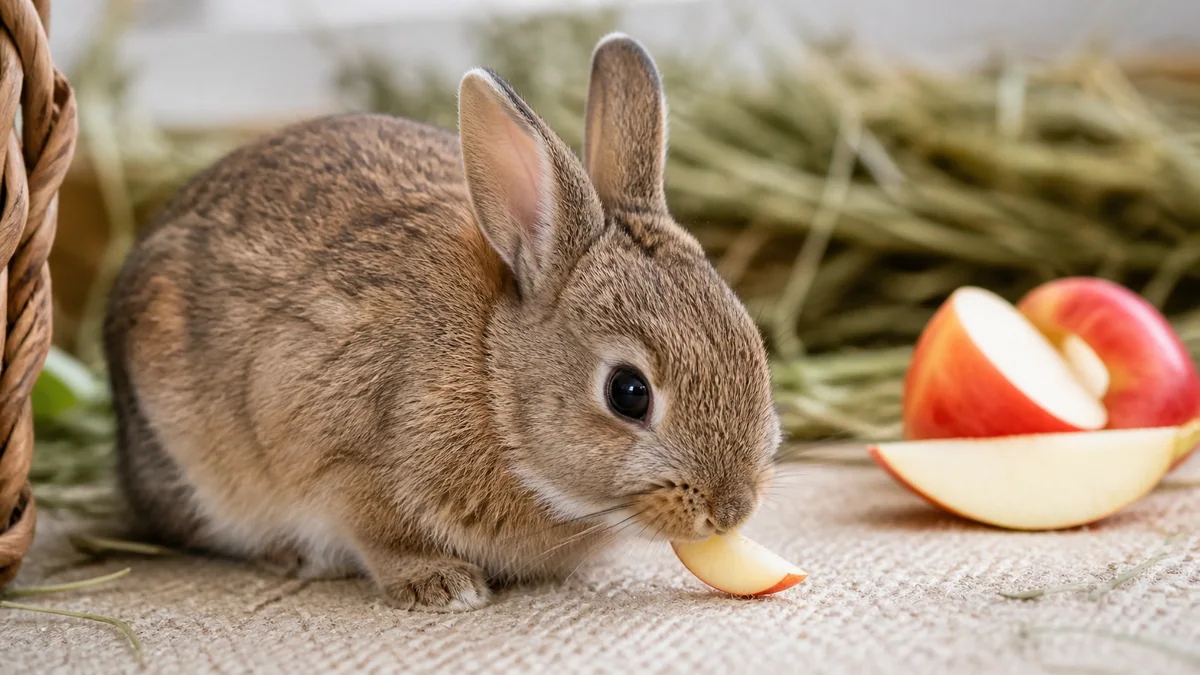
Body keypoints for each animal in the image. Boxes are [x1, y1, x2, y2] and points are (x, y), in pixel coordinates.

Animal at [102, 33, 782, 612]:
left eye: (754, 348)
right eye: (629, 393)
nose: (733, 509)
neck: (493, 380)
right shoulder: (341, 457)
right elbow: (381, 535)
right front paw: (441, 586)